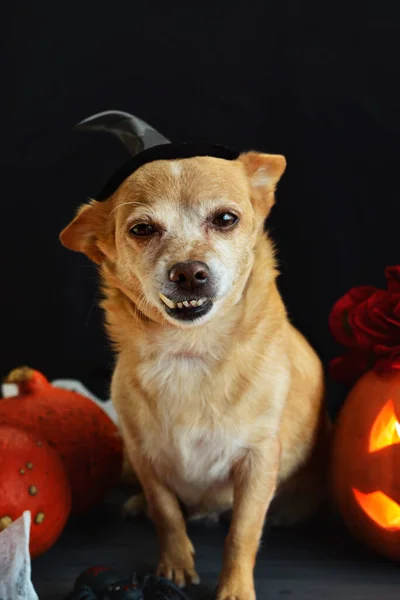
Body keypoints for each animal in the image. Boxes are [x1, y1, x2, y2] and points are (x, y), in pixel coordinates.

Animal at [59, 151, 328, 600]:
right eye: (142, 229)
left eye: (225, 219)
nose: (188, 272)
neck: (191, 352)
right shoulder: (145, 456)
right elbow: (166, 513)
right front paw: (175, 565)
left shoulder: (258, 462)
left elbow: (242, 532)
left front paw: (235, 589)